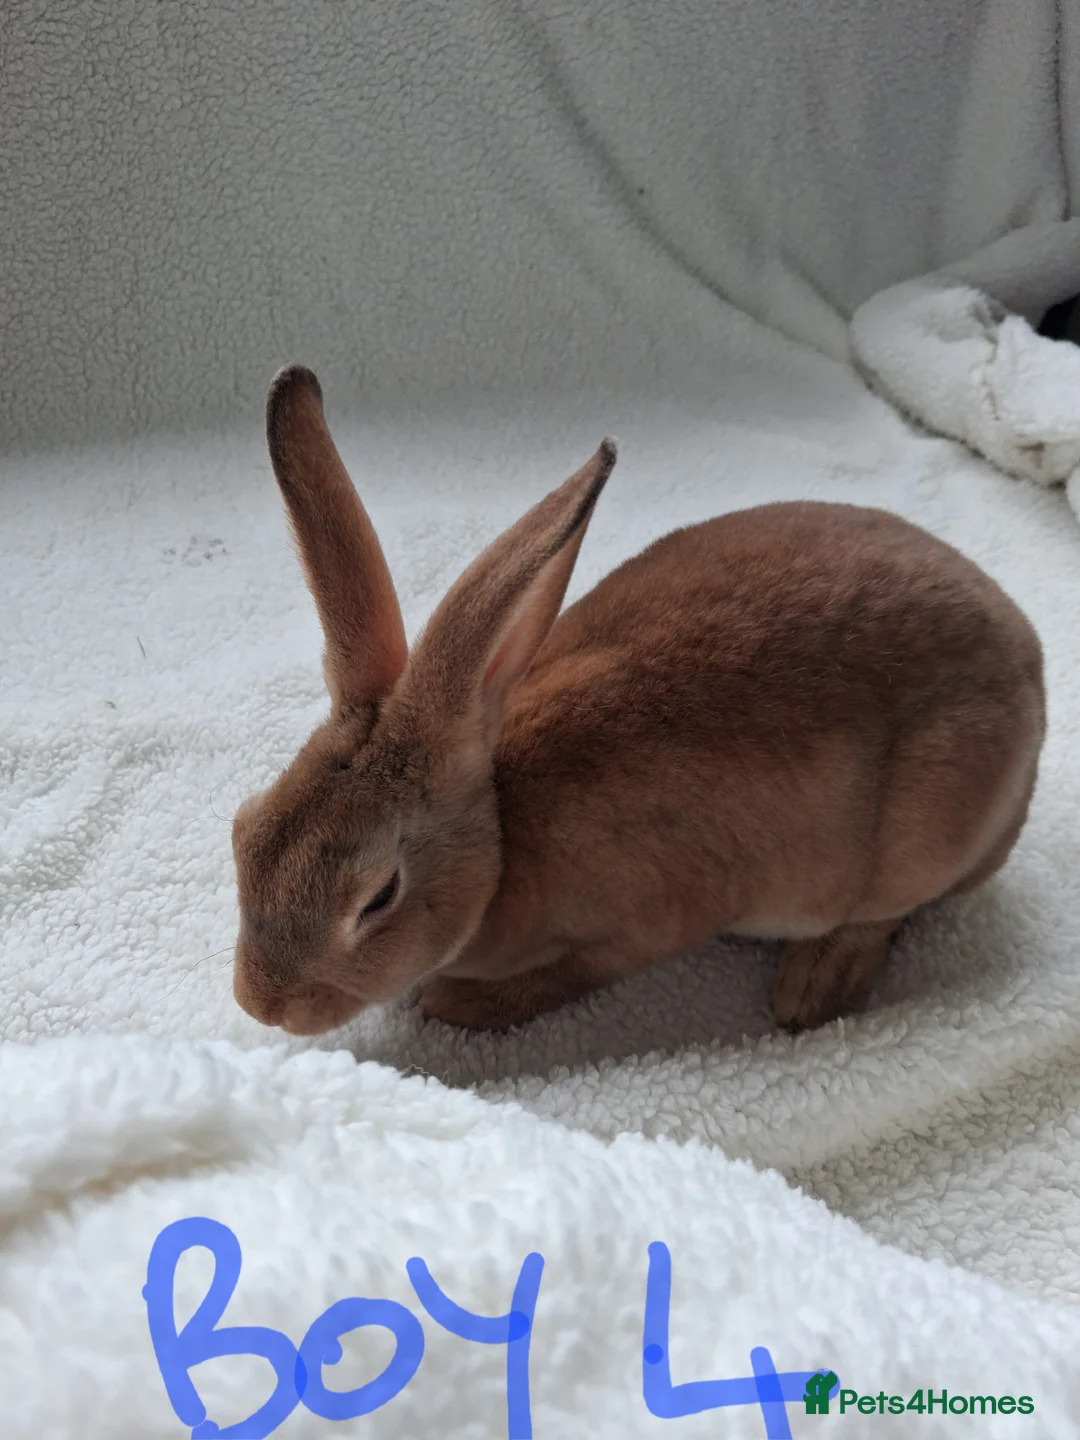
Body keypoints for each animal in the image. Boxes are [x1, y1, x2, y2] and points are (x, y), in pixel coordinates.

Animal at [231, 364, 1045, 1037]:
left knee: (883, 913)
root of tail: (1029, 658)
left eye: (378, 897)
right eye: (244, 829)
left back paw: (809, 991)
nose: (260, 1006)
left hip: (931, 813)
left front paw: (457, 1005)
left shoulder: (642, 926)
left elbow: (570, 976)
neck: (501, 836)